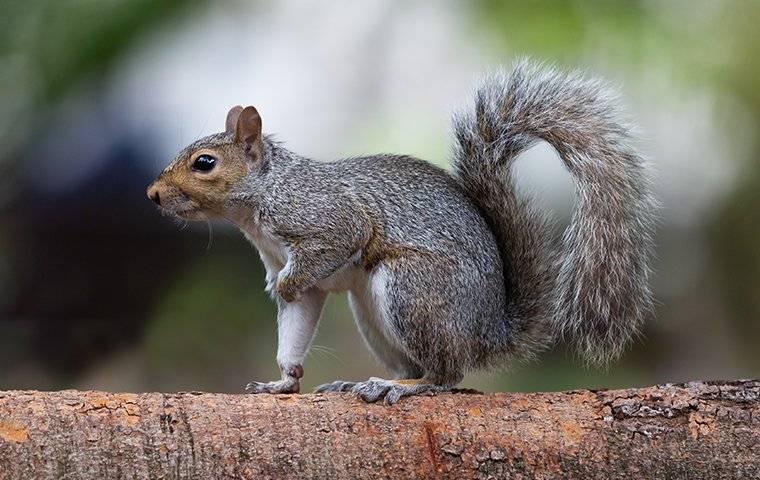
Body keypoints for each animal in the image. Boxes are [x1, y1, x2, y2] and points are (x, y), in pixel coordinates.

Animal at [147, 61, 652, 404]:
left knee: (446, 374)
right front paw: (283, 381)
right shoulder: (296, 275)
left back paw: (401, 387)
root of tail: (488, 333)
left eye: (205, 163)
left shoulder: (326, 218)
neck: (261, 200)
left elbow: (331, 247)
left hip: (412, 289)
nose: (152, 194)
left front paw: (284, 288)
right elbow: (297, 320)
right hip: (374, 315)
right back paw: (367, 380)